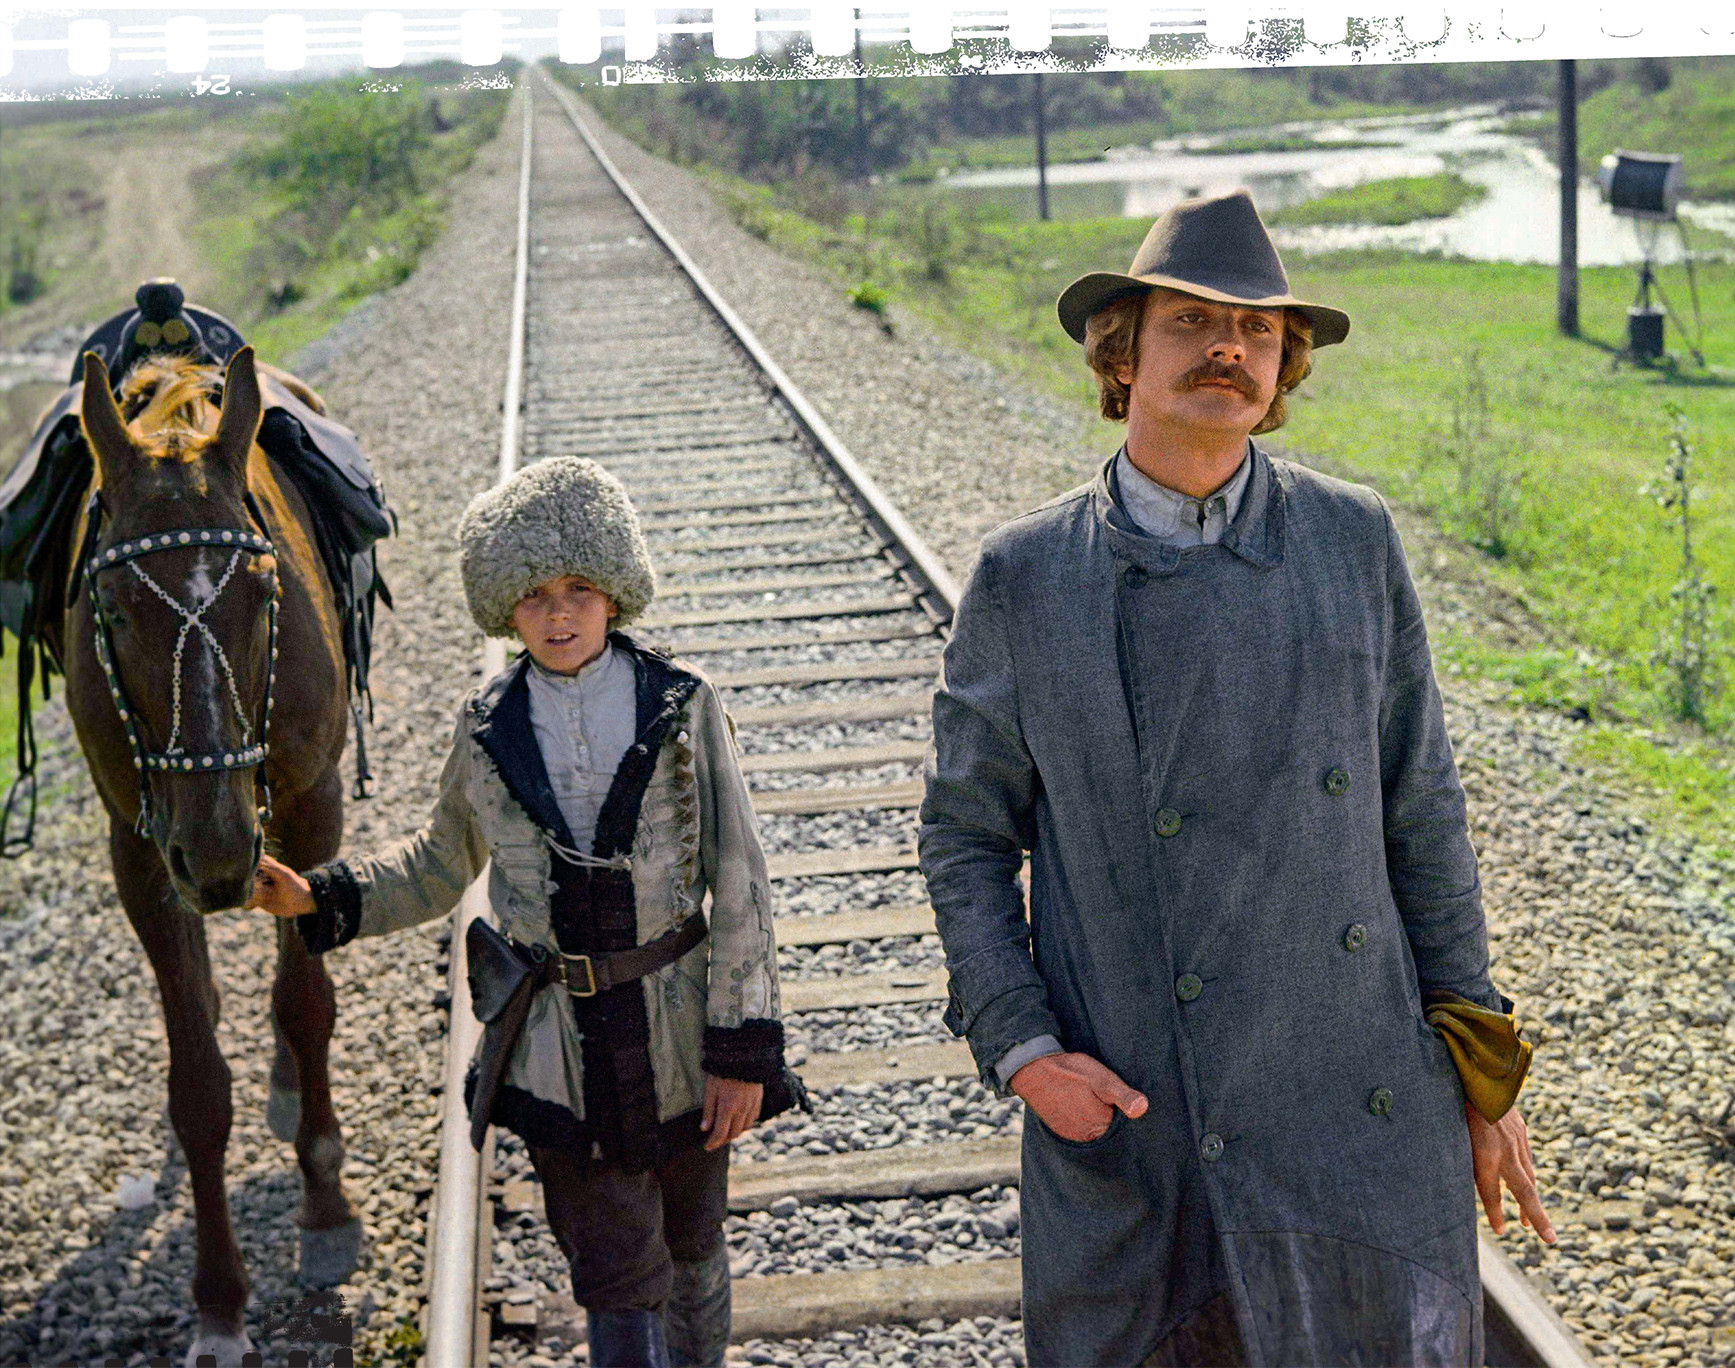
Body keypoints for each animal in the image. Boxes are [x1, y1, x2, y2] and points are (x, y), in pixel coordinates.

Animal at [56, 346, 361, 1366]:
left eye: (264, 595)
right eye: (112, 608)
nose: (223, 852)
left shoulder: (310, 807)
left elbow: (307, 1006)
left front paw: (324, 1205)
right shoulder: (143, 854)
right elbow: (196, 1085)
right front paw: (220, 1303)